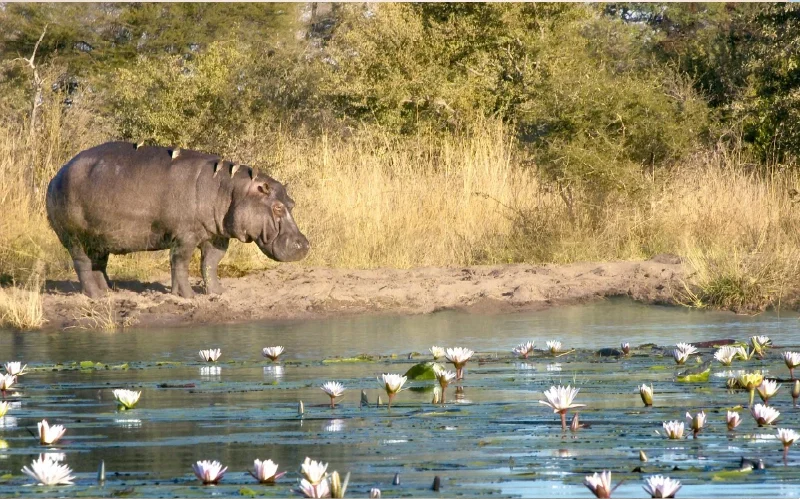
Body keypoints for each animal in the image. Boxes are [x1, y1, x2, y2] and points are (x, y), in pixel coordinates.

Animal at [46, 141, 309, 298]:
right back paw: (95, 296)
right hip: (74, 237)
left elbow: (210, 264)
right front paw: (187, 296)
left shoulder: (216, 236)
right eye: (276, 207)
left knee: (99, 265)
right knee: (82, 264)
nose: (304, 244)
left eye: (291, 203)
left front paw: (217, 293)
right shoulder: (185, 236)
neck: (231, 189)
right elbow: (180, 263)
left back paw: (111, 291)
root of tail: (57, 174)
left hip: (100, 239)